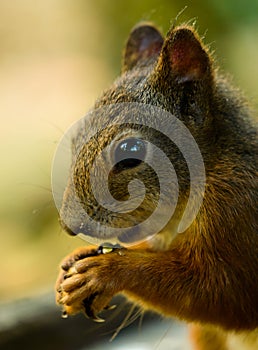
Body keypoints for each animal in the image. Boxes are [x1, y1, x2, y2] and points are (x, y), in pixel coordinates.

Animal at [55, 22, 258, 350]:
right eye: (76, 139)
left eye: (131, 151)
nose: (69, 225)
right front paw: (78, 259)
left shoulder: (238, 218)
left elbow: (223, 296)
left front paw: (105, 272)